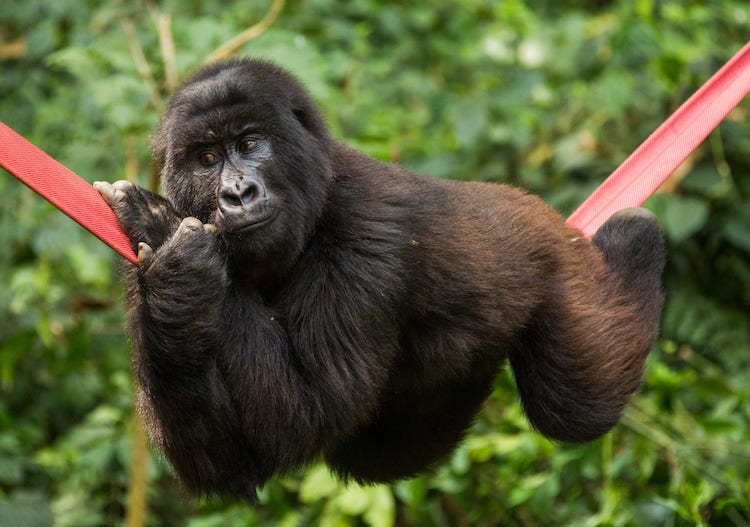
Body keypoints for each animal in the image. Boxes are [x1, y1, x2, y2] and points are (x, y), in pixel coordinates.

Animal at [92, 58, 664, 504]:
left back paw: (634, 242)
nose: (237, 193)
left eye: (250, 143)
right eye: (207, 158)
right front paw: (177, 279)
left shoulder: (371, 232)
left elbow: (306, 412)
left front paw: (162, 228)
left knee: (573, 408)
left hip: (563, 268)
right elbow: (230, 463)